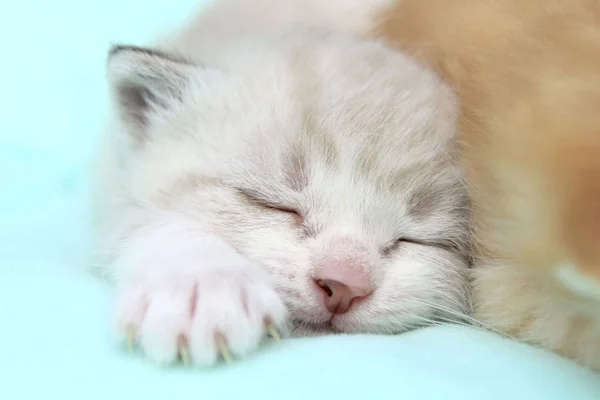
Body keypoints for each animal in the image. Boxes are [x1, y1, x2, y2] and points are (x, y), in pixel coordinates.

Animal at [91, 0, 472, 366]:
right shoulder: (111, 184)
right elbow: (142, 219)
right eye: (274, 203)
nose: (344, 285)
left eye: (413, 239)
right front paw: (201, 284)